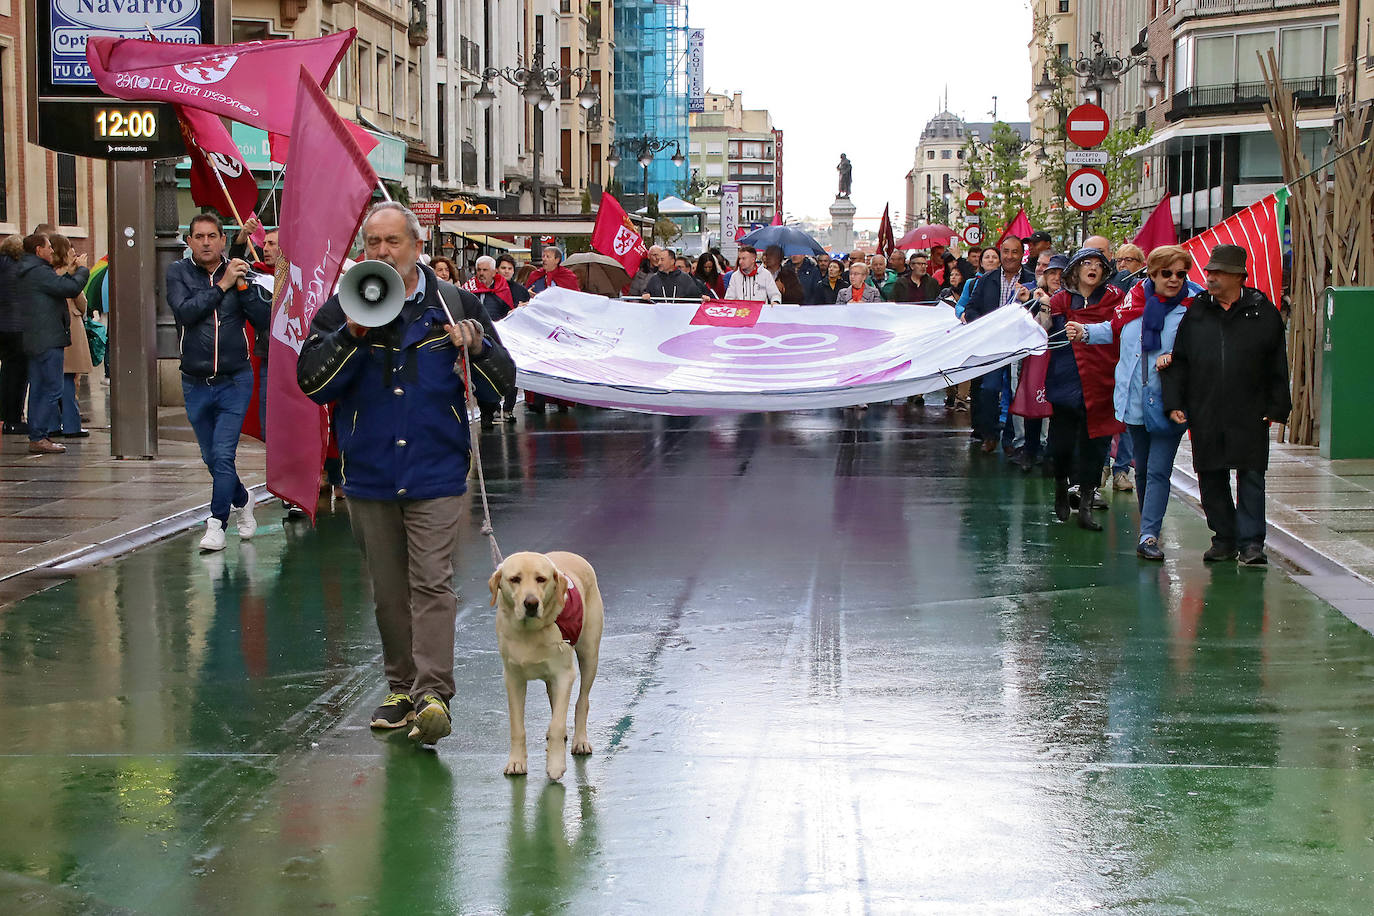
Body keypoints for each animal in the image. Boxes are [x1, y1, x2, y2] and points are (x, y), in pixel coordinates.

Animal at [491, 552, 604, 780]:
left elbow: (557, 723)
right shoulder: (513, 679)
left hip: (589, 656)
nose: (531, 603)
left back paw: (580, 741)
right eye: (515, 579)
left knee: (582, 701)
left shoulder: (564, 675)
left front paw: (555, 764)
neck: (529, 632)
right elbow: (517, 726)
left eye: (541, 579)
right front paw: (516, 762)